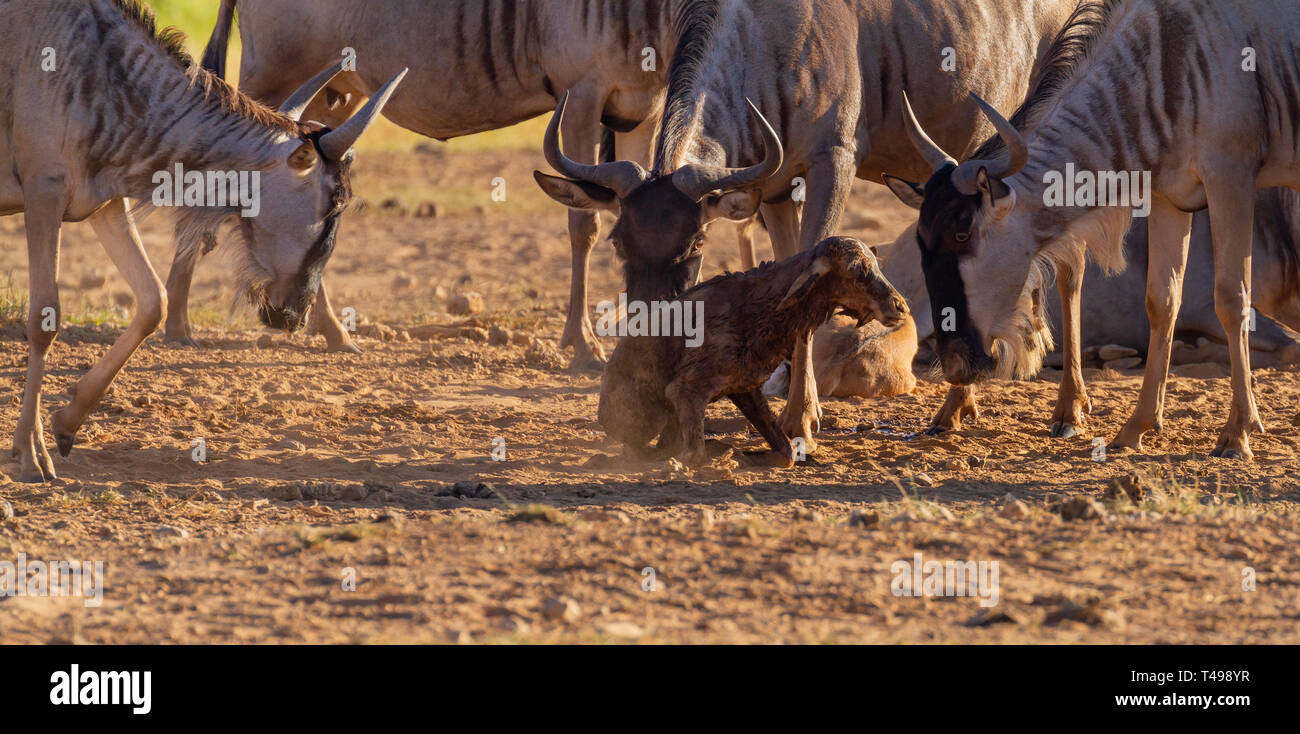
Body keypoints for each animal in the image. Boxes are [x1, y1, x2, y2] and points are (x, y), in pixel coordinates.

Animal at [595, 237, 904, 467]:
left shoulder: (744, 387)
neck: (765, 313)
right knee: (640, 450)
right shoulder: (686, 390)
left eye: (876, 265)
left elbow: (786, 452)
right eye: (856, 270)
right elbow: (694, 455)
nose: (900, 306)